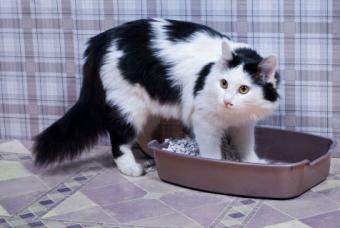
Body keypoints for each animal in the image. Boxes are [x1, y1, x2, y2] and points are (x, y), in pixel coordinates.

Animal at [33, 19, 280, 176]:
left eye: (244, 90)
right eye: (224, 84)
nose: (227, 101)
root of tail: (101, 39)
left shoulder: (244, 124)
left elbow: (247, 146)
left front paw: (254, 164)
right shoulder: (204, 121)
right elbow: (212, 153)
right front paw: (216, 166)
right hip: (128, 106)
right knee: (118, 139)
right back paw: (131, 168)